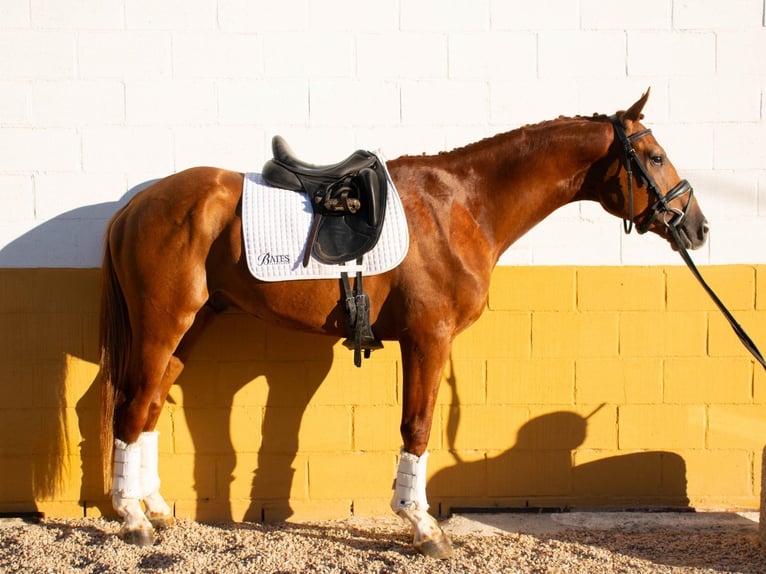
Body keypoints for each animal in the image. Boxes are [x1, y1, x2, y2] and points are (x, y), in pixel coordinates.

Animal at [98, 90, 708, 558]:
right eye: (654, 156)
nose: (697, 226)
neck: (460, 207)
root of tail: (133, 207)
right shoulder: (427, 338)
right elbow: (418, 426)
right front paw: (422, 526)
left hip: (190, 327)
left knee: (149, 406)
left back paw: (155, 508)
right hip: (162, 326)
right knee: (132, 406)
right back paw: (133, 519)